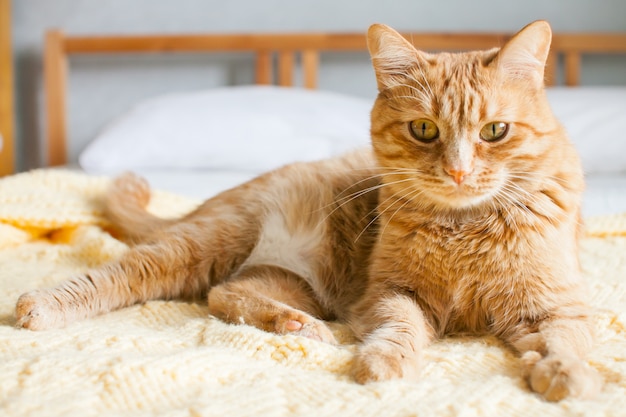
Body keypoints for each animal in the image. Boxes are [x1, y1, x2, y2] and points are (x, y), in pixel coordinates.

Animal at [14, 20, 600, 400]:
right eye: (424, 129)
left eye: (495, 131)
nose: (458, 171)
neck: (464, 226)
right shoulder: (390, 294)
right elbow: (401, 328)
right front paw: (385, 362)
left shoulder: (553, 307)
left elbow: (566, 341)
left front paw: (564, 374)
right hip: (211, 240)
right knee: (127, 273)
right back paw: (39, 306)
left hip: (294, 281)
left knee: (224, 293)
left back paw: (295, 326)